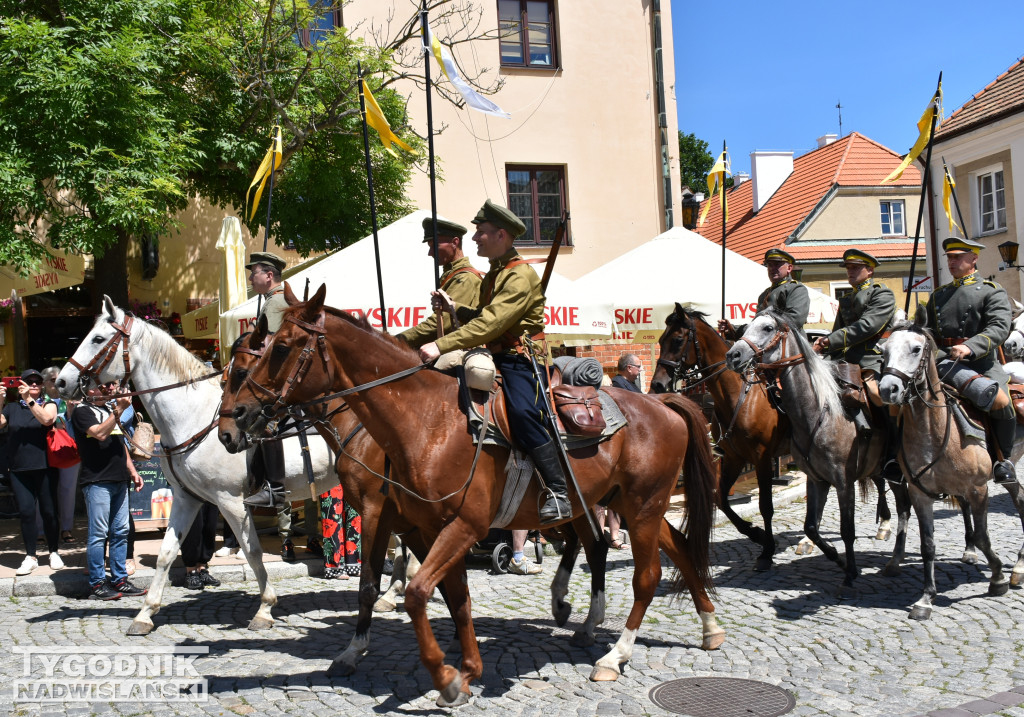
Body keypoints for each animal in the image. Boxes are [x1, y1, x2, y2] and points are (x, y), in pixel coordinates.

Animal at [57, 297, 339, 630]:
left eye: (98, 339)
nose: (62, 381)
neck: (194, 415)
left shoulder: (231, 501)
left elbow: (253, 551)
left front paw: (265, 608)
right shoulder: (186, 498)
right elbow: (166, 553)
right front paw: (145, 614)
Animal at [230, 284, 720, 704]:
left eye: (281, 347)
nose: (235, 419)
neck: (425, 420)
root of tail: (660, 403)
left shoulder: (430, 520)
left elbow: (413, 592)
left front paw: (444, 676)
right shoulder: (428, 526)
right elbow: (452, 596)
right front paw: (465, 669)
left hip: (641, 507)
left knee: (645, 576)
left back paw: (615, 655)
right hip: (622, 502)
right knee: (660, 546)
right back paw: (703, 625)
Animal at [655, 303, 897, 569]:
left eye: (678, 340)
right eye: (660, 339)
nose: (657, 385)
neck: (740, 397)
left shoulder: (761, 457)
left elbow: (765, 506)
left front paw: (767, 550)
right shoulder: (734, 458)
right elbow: (721, 499)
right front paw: (755, 533)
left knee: (880, 479)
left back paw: (884, 525)